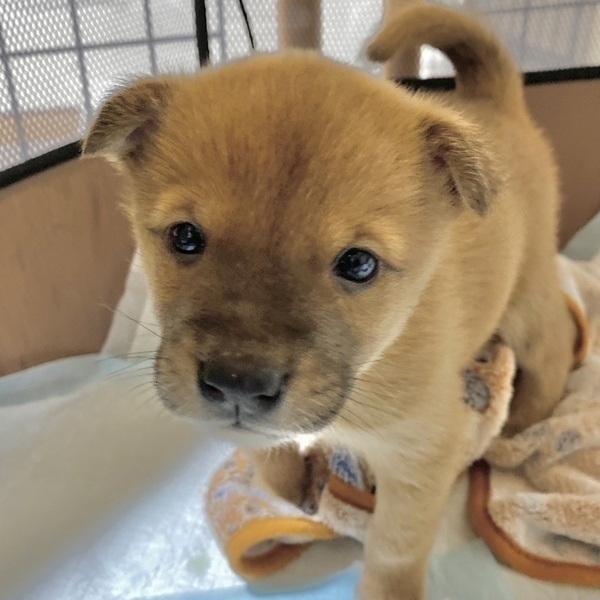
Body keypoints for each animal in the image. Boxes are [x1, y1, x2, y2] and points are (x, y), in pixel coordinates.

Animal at [83, 5, 576, 599]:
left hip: (525, 299)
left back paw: (523, 422)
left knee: (556, 345)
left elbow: (392, 550)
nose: (237, 385)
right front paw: (289, 489)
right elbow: (270, 456)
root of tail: (494, 99)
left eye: (358, 264)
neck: (376, 361)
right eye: (185, 237)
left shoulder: (421, 454)